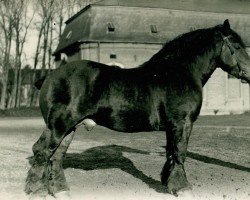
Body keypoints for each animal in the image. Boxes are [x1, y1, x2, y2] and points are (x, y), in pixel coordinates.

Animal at [25, 20, 250, 198]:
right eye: (237, 46)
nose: (249, 73)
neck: (179, 71)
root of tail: (49, 77)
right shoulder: (182, 122)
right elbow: (180, 153)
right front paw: (183, 188)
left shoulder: (172, 126)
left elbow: (171, 153)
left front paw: (169, 184)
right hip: (59, 126)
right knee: (42, 152)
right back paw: (36, 191)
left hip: (69, 128)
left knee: (55, 156)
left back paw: (60, 191)